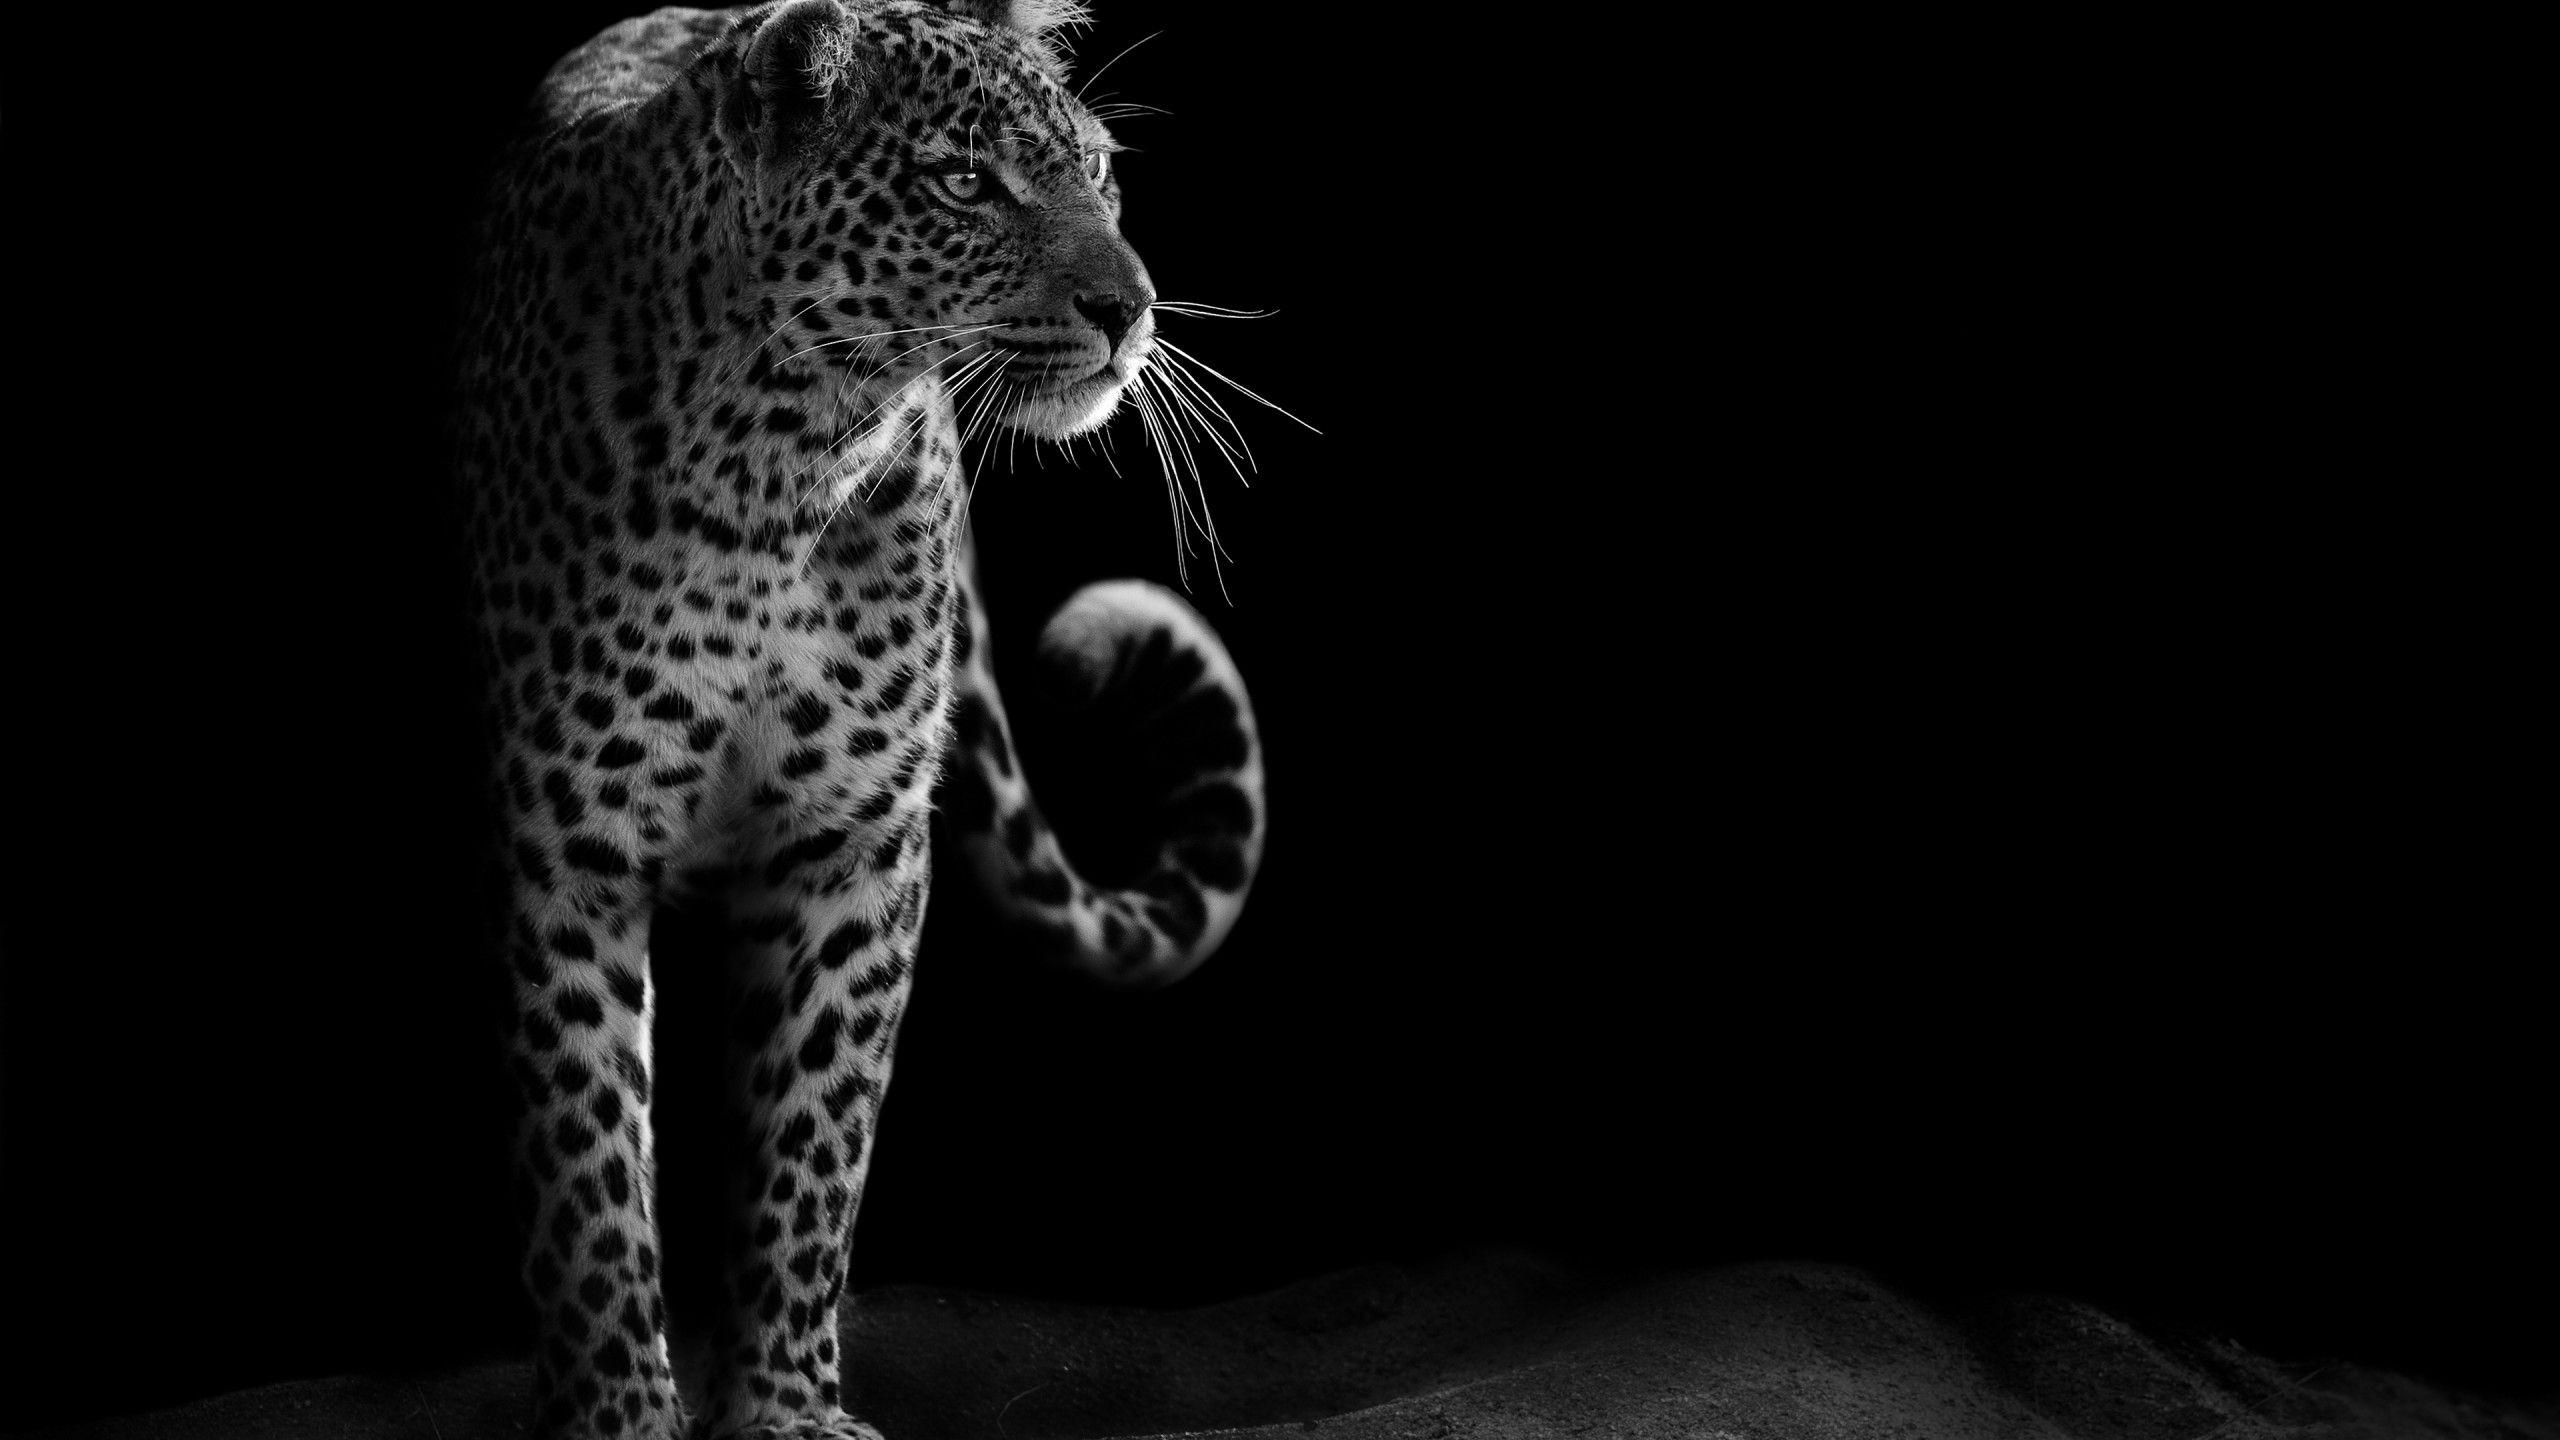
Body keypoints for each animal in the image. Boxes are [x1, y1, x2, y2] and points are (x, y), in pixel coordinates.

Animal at [451, 3, 1268, 1436]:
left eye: (1097, 173)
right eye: (964, 183)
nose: (1130, 307)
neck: (779, 459)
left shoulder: (853, 841)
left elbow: (813, 1135)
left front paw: (784, 1406)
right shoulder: (568, 846)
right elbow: (586, 1162)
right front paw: (620, 1412)